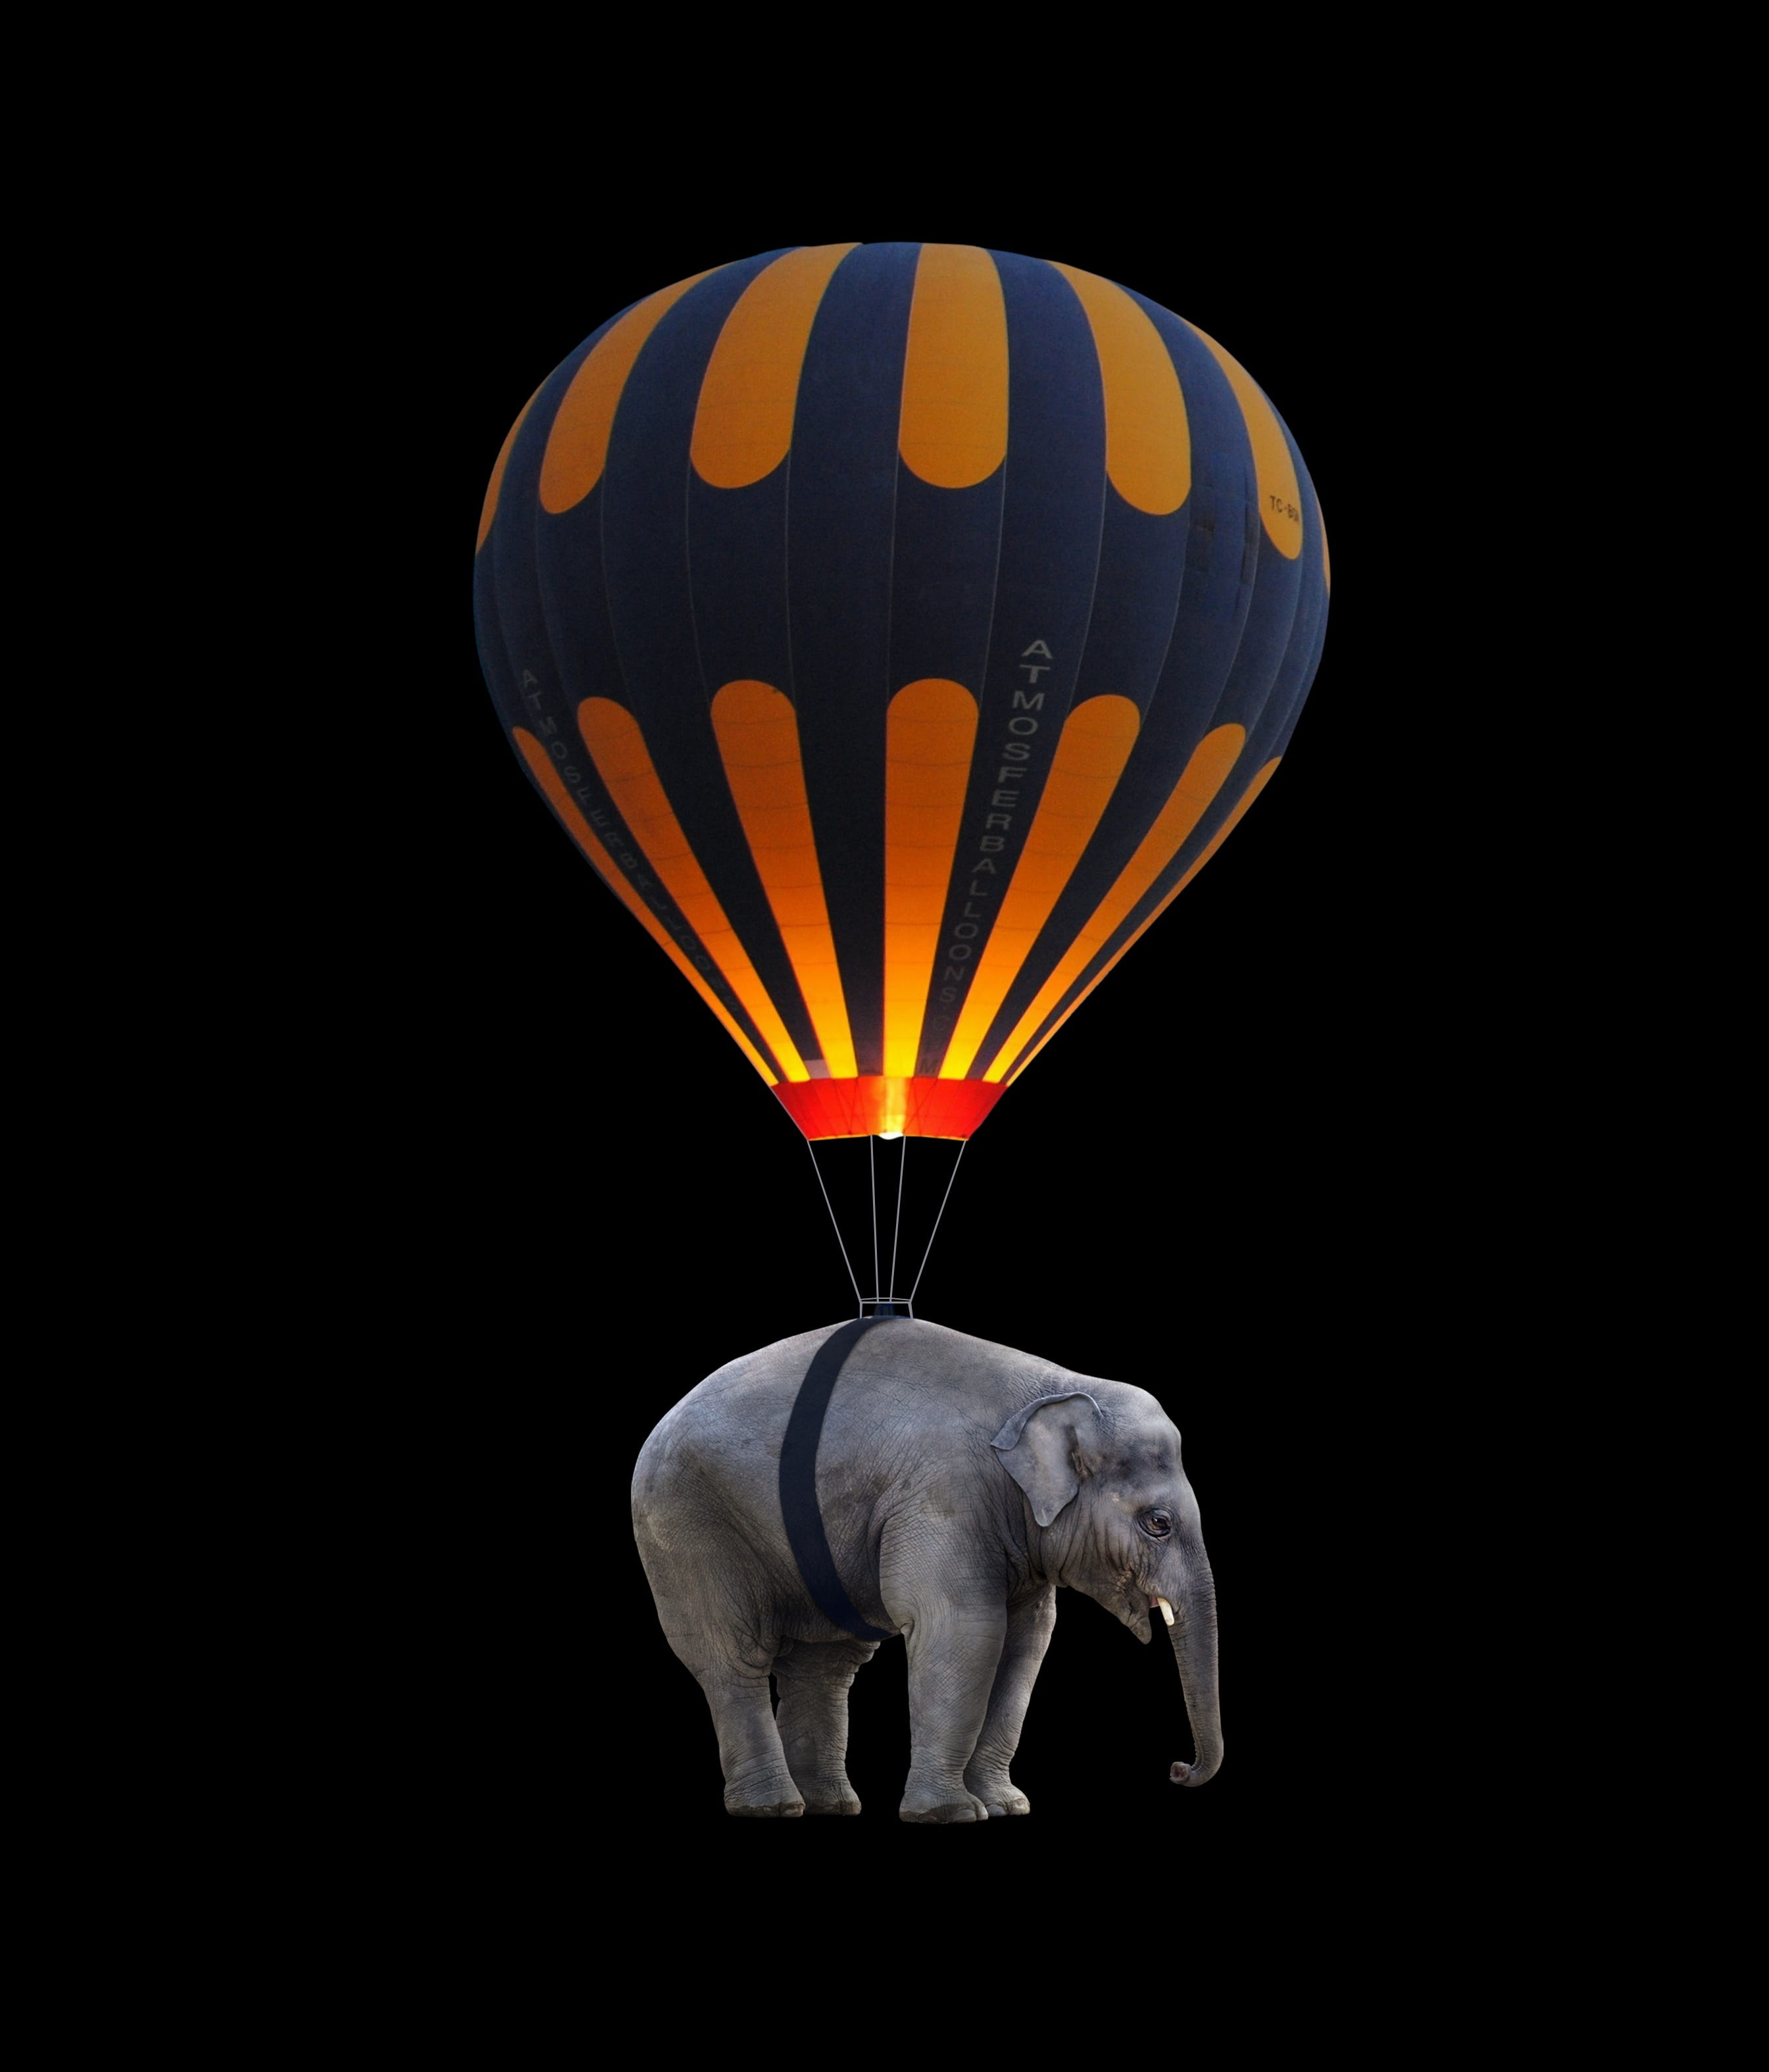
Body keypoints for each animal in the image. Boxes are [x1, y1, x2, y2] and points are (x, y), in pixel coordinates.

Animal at [631, 1316, 1221, 1822]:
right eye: (1159, 1523)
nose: (1177, 1768)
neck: (1055, 1387)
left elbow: (1025, 1643)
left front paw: (1006, 1807)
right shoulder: (944, 1494)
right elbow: (966, 1629)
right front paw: (951, 1814)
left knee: (824, 1666)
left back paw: (829, 1805)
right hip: (686, 1524)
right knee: (732, 1657)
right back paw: (773, 1807)